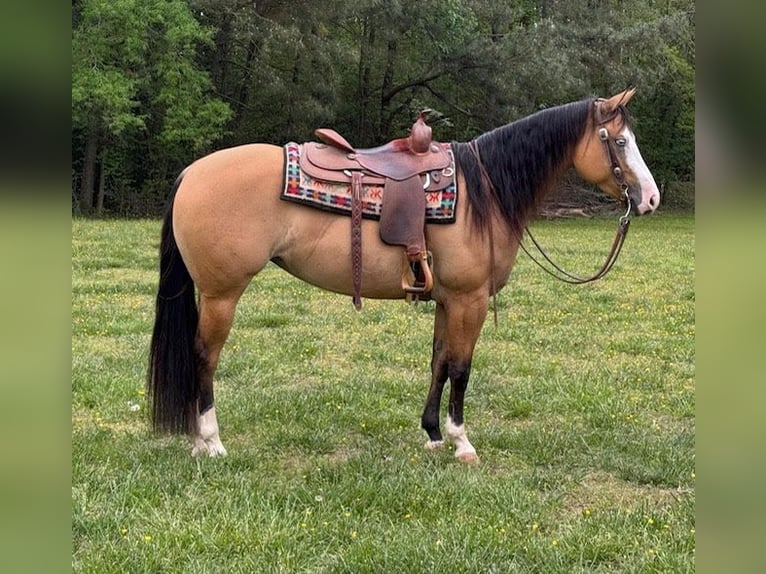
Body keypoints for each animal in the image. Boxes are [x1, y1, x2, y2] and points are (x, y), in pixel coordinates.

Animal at [148, 91, 660, 468]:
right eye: (618, 142)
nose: (651, 199)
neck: (486, 190)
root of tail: (193, 172)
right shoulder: (469, 300)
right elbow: (461, 368)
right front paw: (461, 442)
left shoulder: (447, 300)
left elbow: (438, 363)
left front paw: (433, 434)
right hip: (221, 294)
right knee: (205, 357)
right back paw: (210, 441)